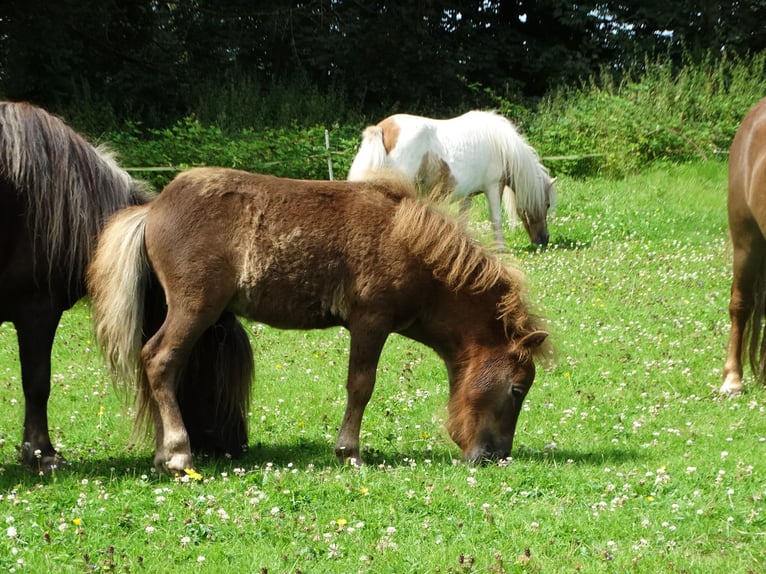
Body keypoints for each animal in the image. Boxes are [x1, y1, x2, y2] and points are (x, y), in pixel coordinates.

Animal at [87, 169, 548, 474]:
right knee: (160, 360)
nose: (494, 455)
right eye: (517, 389)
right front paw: (349, 452)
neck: (410, 247)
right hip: (194, 308)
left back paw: (163, 453)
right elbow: (361, 386)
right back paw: (179, 452)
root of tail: (152, 208)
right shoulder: (370, 322)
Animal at [348, 110, 560, 250]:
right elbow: (496, 220)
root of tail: (382, 129)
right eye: (547, 204)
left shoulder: (468, 195)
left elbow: (463, 221)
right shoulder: (493, 187)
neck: (502, 147)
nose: (544, 240)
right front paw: (501, 249)